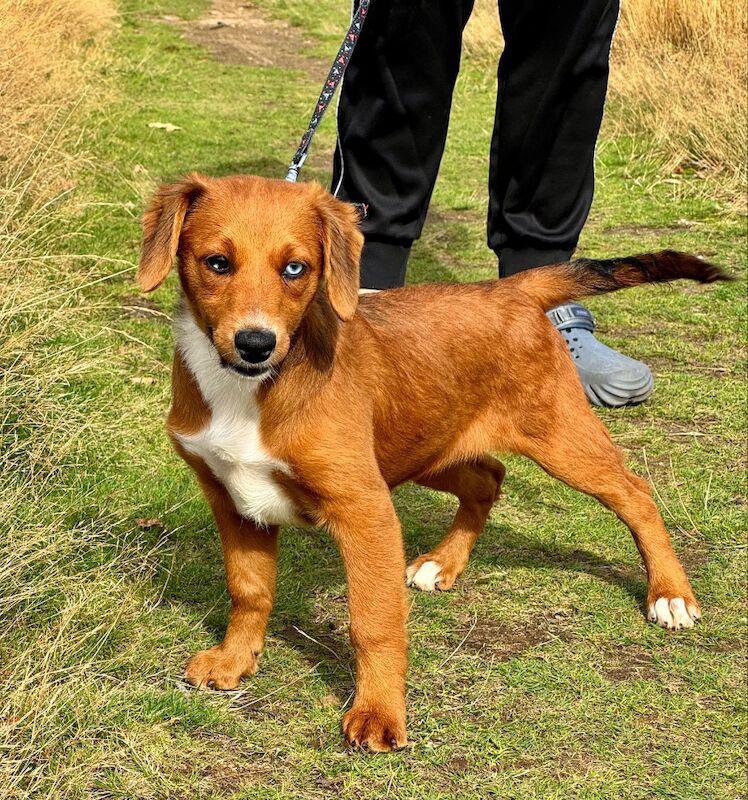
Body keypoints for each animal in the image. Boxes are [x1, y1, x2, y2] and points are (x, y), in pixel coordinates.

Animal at [139, 173, 732, 752]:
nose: (256, 344)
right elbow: (249, 591)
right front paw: (236, 661)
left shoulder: (366, 510)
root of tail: (511, 288)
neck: (250, 390)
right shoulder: (235, 502)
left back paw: (671, 594)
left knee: (634, 492)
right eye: (218, 263)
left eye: (295, 269)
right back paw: (444, 563)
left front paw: (379, 712)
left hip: (562, 440)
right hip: (425, 445)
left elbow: (373, 622)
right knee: (489, 476)